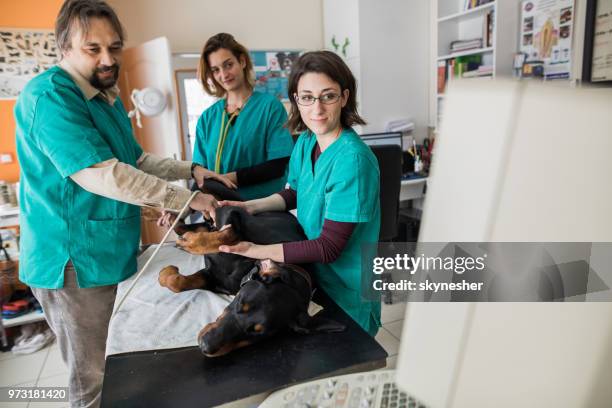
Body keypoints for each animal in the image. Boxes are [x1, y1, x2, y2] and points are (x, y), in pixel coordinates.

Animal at [158, 182, 344, 356]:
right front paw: (189, 245)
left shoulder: (214, 278)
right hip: (220, 194)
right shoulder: (233, 214)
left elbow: (176, 282)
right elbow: (229, 233)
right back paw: (175, 216)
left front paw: (170, 270)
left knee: (197, 225)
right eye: (240, 302)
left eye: (257, 333)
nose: (205, 345)